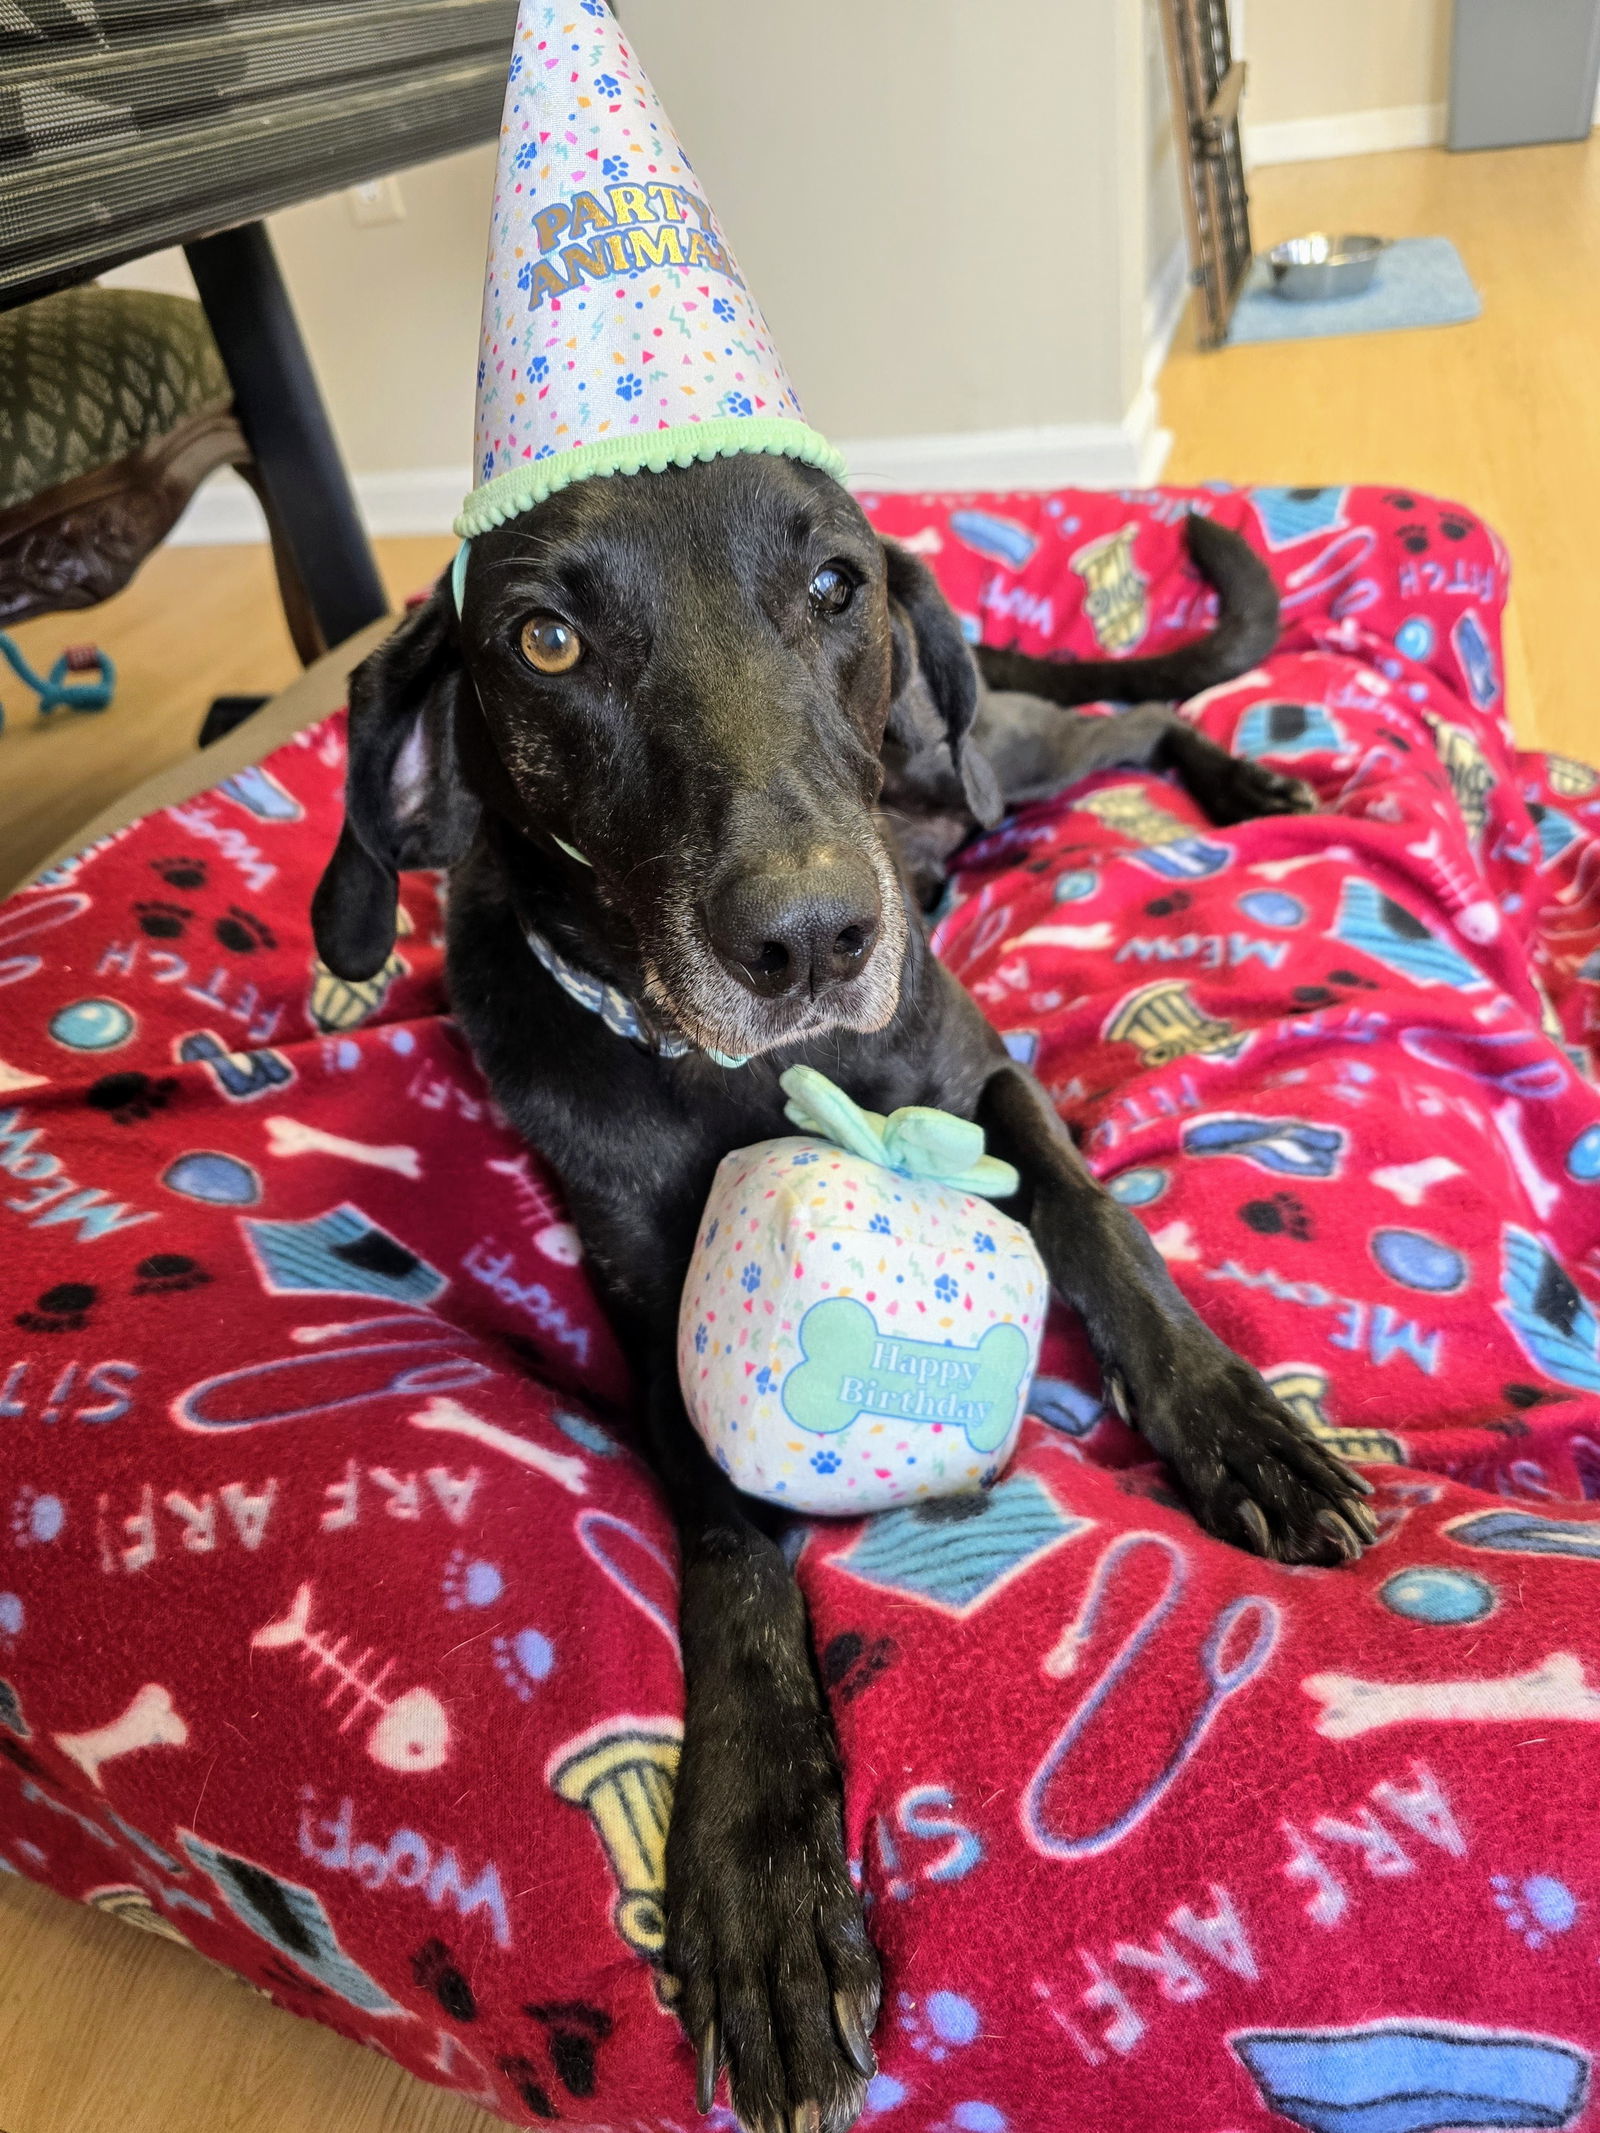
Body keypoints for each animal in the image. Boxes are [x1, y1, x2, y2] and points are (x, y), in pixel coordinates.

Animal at [315, 462, 1382, 2133]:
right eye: (545, 638)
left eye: (834, 587)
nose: (813, 935)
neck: (750, 1068)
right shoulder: (643, 1292)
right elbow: (732, 1557)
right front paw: (768, 1873)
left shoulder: (985, 1074)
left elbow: (1098, 1222)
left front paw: (1242, 1429)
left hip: (994, 747)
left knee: (1136, 729)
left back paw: (1253, 790)